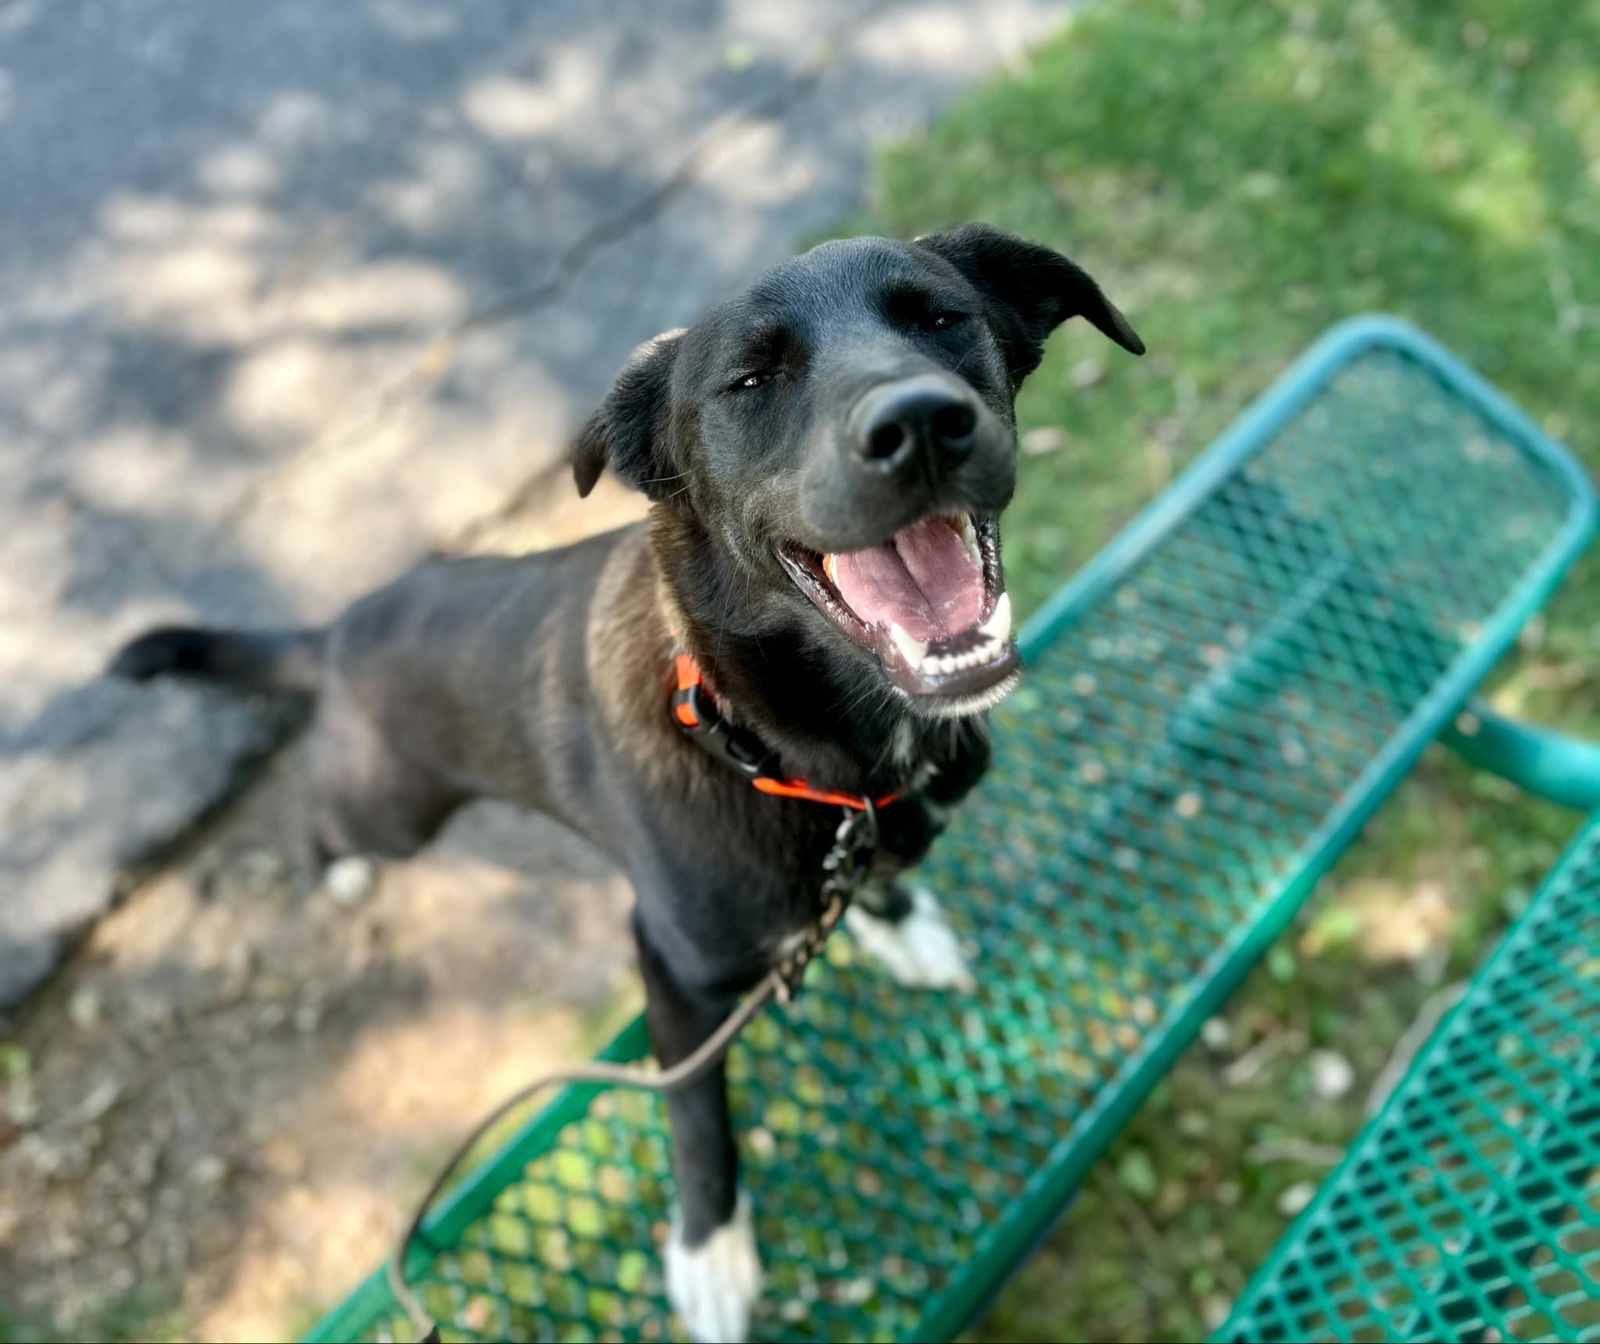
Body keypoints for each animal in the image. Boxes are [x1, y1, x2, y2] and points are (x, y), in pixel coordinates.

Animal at [112, 225, 1139, 1337]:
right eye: (750, 380)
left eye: (941, 316)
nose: (919, 424)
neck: (780, 742)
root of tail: (336, 630)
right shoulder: (673, 972)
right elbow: (695, 1115)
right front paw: (710, 1250)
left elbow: (875, 883)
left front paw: (897, 925)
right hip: (389, 807)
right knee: (332, 824)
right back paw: (338, 871)